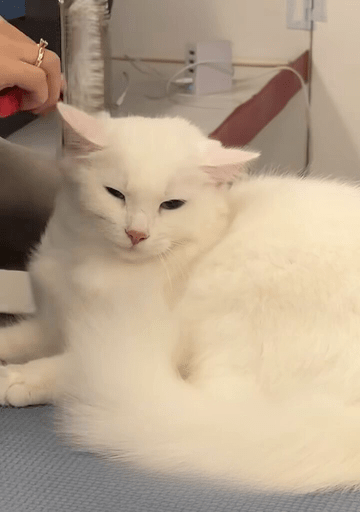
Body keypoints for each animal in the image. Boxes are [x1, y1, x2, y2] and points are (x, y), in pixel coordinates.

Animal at [2, 104, 360, 492]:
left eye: (171, 205)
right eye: (115, 193)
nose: (136, 234)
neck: (87, 262)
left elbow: (70, 364)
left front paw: (18, 378)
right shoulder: (51, 324)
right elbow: (17, 338)